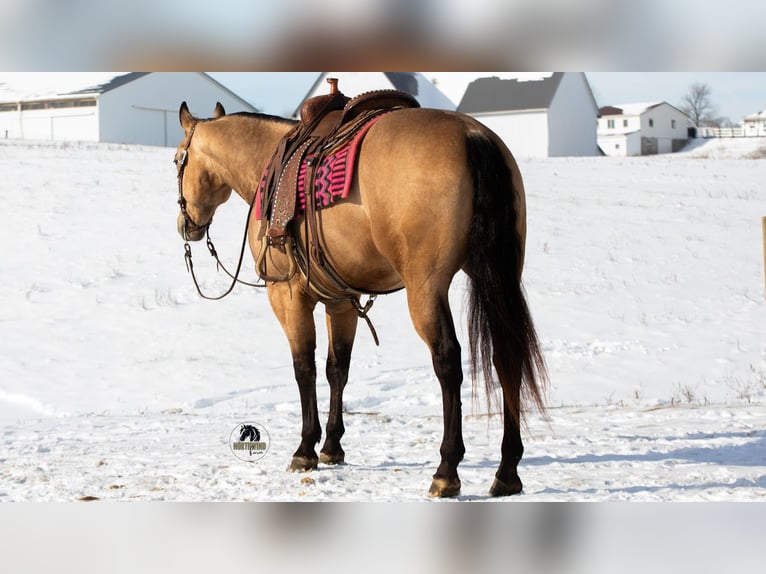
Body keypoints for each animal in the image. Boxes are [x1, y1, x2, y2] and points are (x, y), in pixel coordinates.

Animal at [173, 99, 547, 498]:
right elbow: (337, 368)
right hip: (500, 276)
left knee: (448, 362)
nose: (186, 225)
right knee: (506, 357)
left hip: (426, 288)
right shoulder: (340, 302)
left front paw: (305, 449)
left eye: (178, 159)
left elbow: (304, 368)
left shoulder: (287, 297)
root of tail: (473, 135)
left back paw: (446, 470)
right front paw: (332, 447)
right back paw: (507, 471)